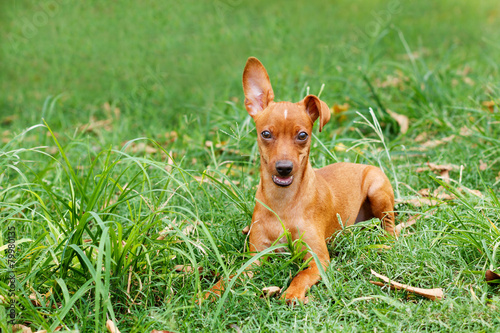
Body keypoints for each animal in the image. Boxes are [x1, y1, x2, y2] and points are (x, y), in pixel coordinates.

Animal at [206, 57, 394, 304]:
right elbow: (233, 275)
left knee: (391, 225)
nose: (284, 168)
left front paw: (292, 293)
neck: (283, 203)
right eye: (266, 134)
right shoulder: (256, 256)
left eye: (302, 135)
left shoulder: (317, 258)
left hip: (377, 190)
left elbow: (301, 275)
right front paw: (211, 291)